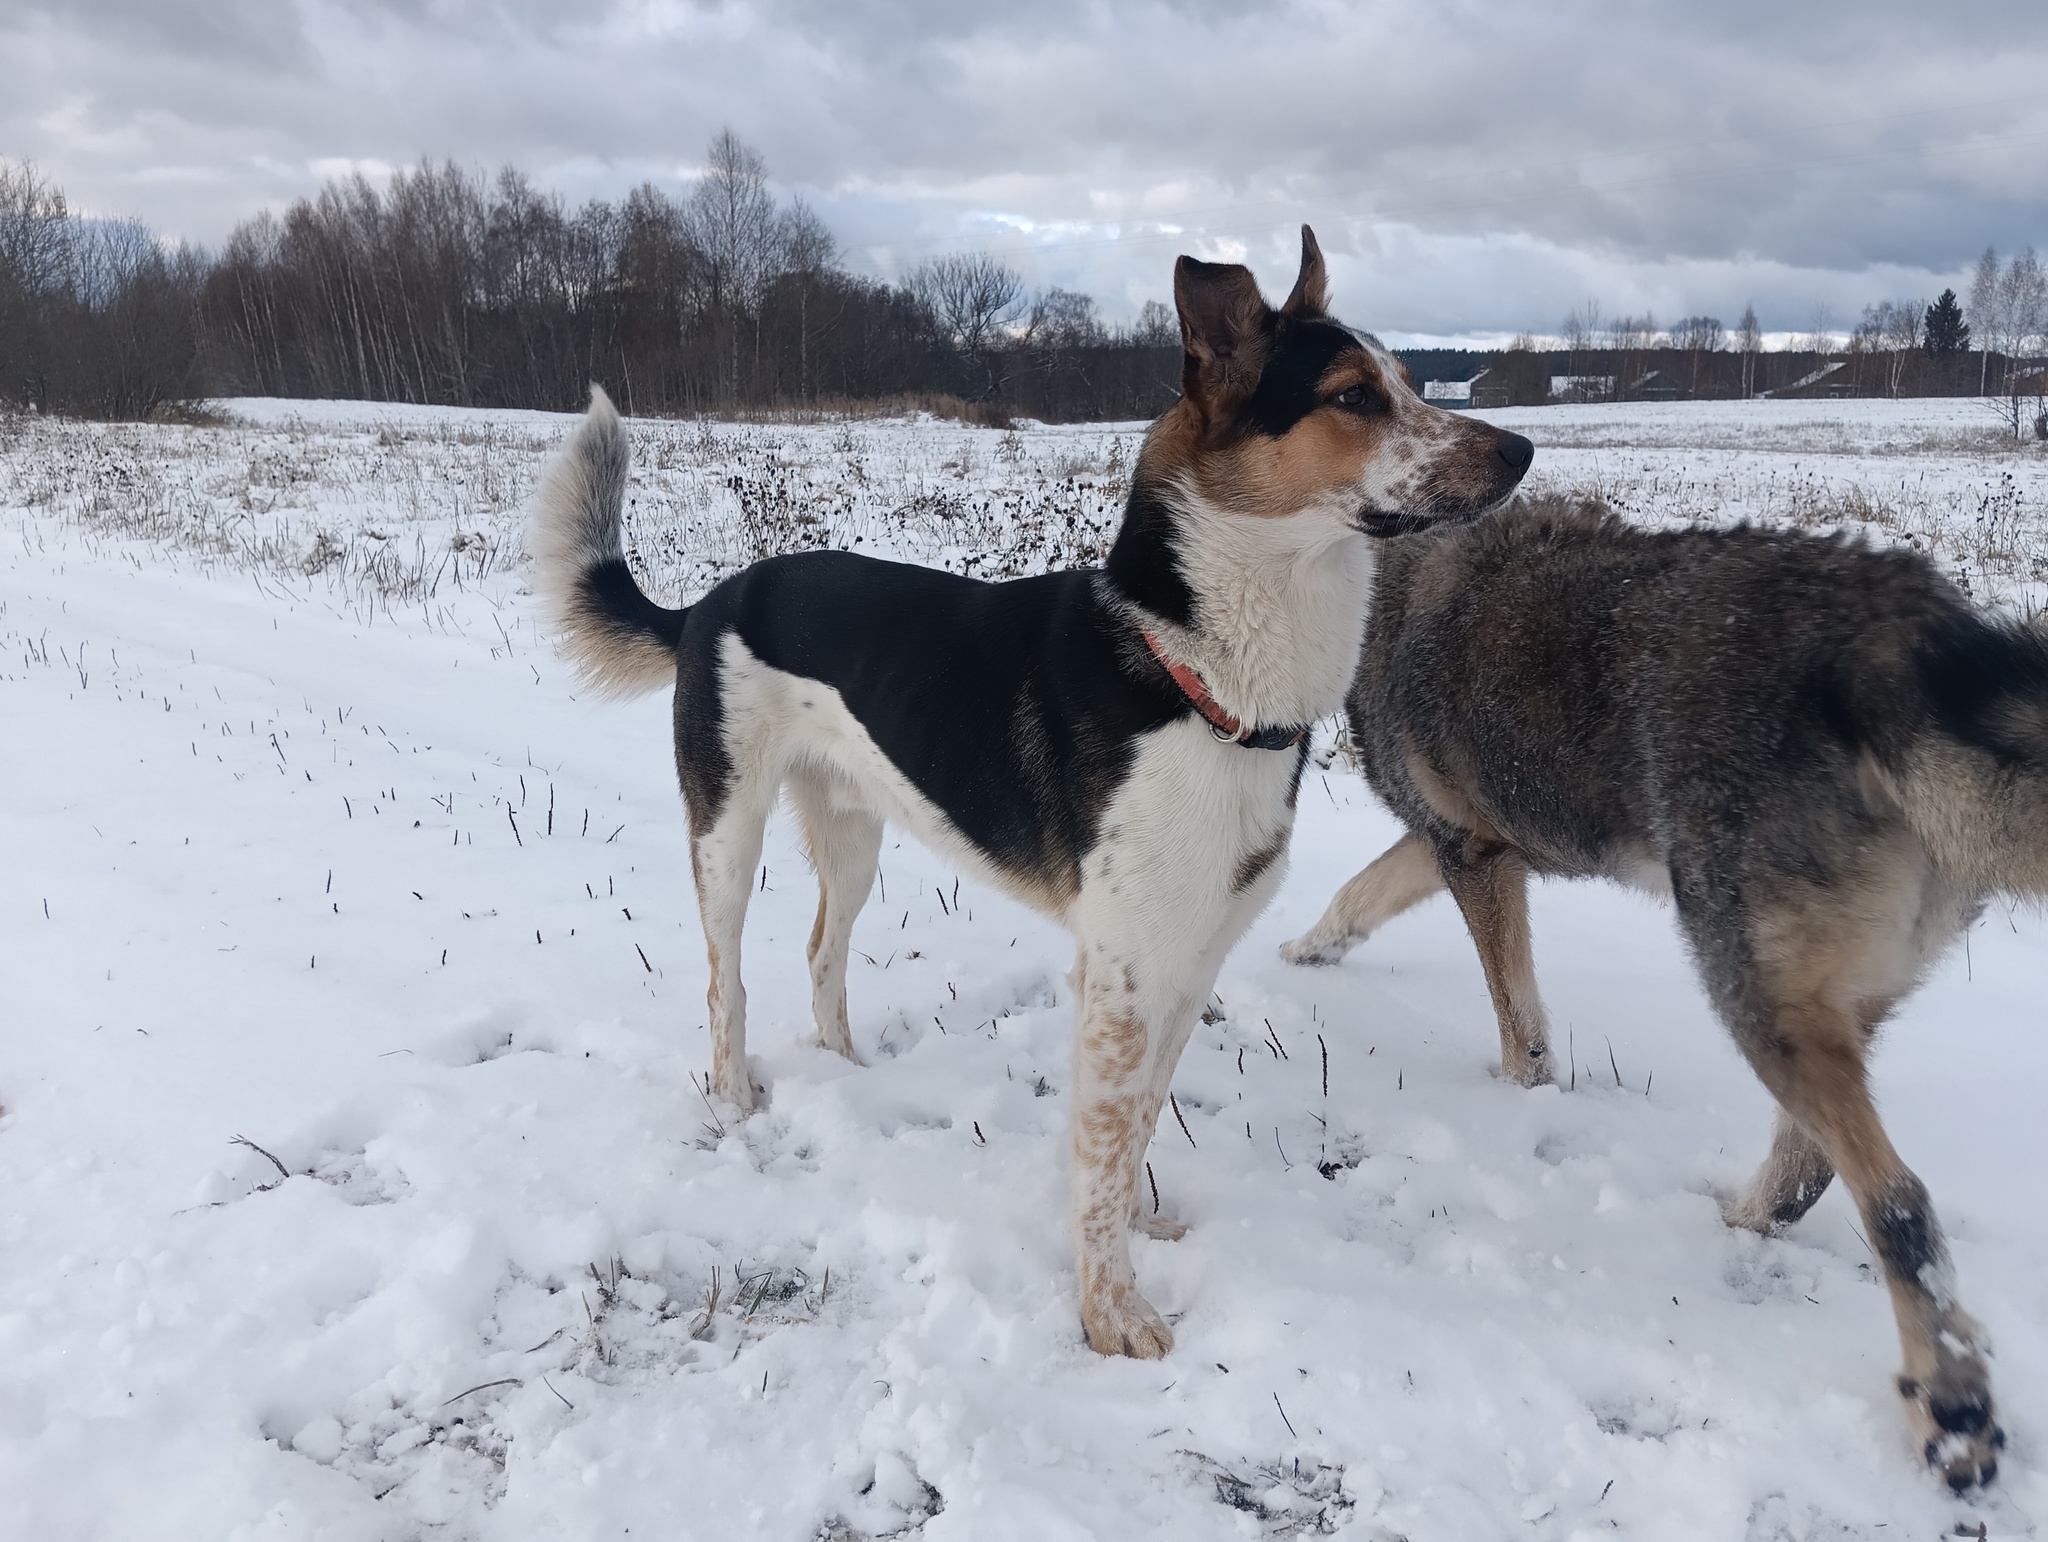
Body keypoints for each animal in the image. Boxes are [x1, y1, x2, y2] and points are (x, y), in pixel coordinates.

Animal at [536, 231, 1531, 1359]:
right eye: (1354, 397)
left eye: (1408, 381)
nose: (1520, 452)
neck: (1199, 672)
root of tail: (711, 598)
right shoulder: (1123, 969)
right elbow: (1099, 1149)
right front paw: (1110, 1313)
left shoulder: (1187, 960)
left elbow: (1132, 1129)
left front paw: (1141, 1233)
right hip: (727, 828)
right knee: (726, 980)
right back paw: (738, 1099)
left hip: (853, 830)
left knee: (823, 952)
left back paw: (851, 1072)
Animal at [1286, 495, 2023, 1490]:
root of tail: (1900, 632)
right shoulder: (1457, 847)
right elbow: (1352, 897)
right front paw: (1302, 953)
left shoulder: (1471, 851)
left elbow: (1519, 1029)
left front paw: (1514, 1100)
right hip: (1819, 1004)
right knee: (1809, 1167)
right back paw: (1736, 1222)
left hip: (1747, 989)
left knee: (1898, 1199)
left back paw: (1950, 1405)